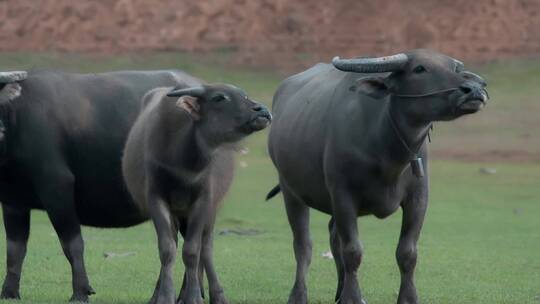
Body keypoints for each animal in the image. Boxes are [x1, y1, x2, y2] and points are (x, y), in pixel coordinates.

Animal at [0, 69, 201, 302]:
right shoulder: (12, 201)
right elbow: (14, 249)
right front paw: (9, 292)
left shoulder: (57, 187)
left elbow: (72, 244)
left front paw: (80, 291)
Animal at [124, 83, 272, 304]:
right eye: (219, 98)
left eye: (244, 95)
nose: (262, 110)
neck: (182, 163)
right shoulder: (156, 200)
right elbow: (167, 249)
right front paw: (165, 296)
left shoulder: (203, 202)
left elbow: (193, 251)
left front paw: (194, 296)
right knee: (177, 242)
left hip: (211, 211)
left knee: (206, 247)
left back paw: (214, 295)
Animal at [266, 48, 490, 302]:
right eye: (419, 69)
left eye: (454, 68)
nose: (474, 89)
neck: (385, 149)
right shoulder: (343, 194)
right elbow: (353, 250)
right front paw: (353, 297)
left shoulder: (419, 197)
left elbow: (407, 252)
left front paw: (407, 298)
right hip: (291, 192)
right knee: (304, 245)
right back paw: (299, 294)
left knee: (333, 235)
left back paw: (339, 290)